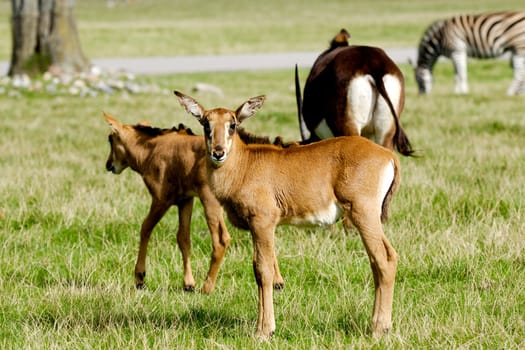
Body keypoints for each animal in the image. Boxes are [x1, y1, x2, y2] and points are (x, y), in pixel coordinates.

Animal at [102, 112, 282, 292]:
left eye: (111, 139)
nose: (109, 165)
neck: (151, 148)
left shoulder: (161, 200)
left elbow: (145, 228)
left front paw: (140, 278)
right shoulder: (185, 200)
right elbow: (183, 238)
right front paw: (188, 283)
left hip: (210, 201)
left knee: (222, 240)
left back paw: (207, 287)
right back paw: (278, 281)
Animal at [174, 89, 400, 340]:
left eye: (232, 124)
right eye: (206, 123)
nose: (218, 152)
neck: (245, 165)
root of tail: (388, 157)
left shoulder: (263, 223)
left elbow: (264, 271)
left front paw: (264, 330)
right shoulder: (256, 229)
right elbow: (257, 269)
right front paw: (261, 327)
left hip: (364, 214)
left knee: (383, 259)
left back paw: (379, 328)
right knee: (381, 260)